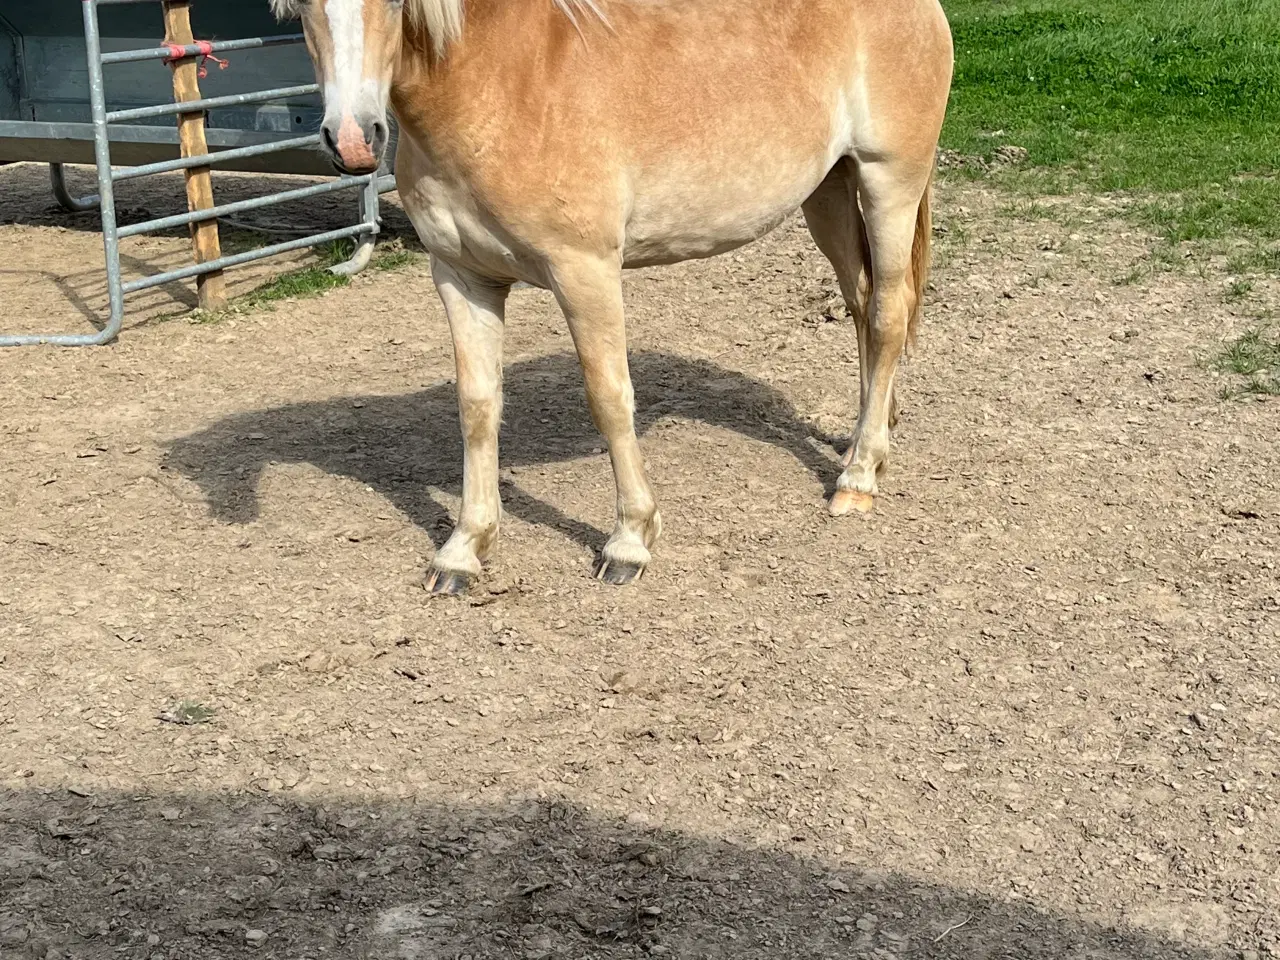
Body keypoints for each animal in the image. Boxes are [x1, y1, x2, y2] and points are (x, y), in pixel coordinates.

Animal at [272, 0, 952, 593]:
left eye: (393, 5)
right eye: (302, 7)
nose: (354, 140)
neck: (499, 87)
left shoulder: (586, 272)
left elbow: (608, 399)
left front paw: (629, 541)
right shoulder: (462, 277)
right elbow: (477, 407)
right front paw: (464, 549)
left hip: (888, 182)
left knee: (887, 315)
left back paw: (857, 479)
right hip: (828, 191)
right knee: (862, 305)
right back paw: (867, 438)